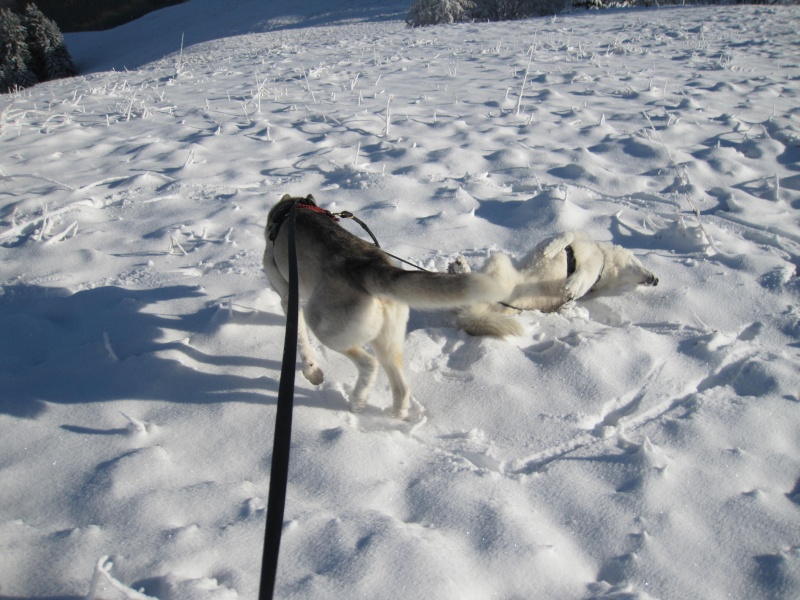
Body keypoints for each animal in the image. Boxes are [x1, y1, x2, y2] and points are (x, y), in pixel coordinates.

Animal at [260, 195, 516, 420]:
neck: (293, 208)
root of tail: (370, 266)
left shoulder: (287, 296)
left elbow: (300, 339)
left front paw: (311, 372)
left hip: (323, 325)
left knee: (369, 364)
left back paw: (357, 401)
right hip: (388, 341)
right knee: (401, 387)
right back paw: (394, 415)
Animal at [446, 231, 660, 338]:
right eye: (638, 262)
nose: (656, 280)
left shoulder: (590, 274)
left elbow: (580, 276)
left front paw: (571, 286)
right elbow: (566, 234)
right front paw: (552, 249)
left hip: (498, 264)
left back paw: (459, 270)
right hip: (498, 262)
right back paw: (458, 268)